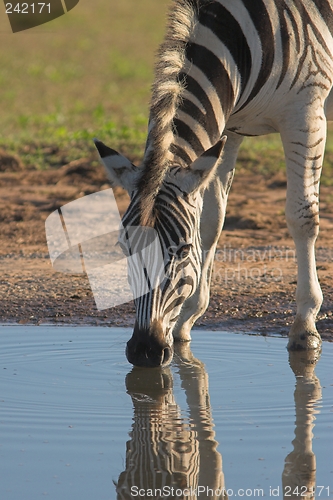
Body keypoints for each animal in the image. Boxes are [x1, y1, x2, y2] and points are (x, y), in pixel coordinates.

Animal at [94, 0, 332, 368]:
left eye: (182, 251)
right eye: (124, 248)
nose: (145, 352)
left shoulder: (305, 114)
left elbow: (302, 217)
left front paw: (305, 327)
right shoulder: (227, 127)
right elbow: (211, 221)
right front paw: (188, 318)